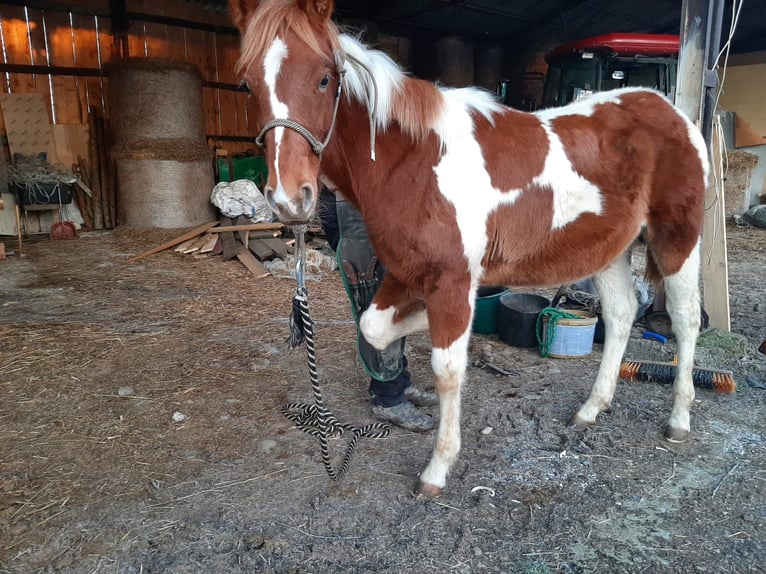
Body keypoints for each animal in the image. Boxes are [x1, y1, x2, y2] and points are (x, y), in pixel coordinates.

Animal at [231, 0, 712, 500]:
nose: (290, 198)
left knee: (684, 319)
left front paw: (437, 469)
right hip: (608, 250)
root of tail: (667, 109)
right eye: (248, 83)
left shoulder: (452, 279)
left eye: (325, 78)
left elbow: (447, 366)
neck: (413, 160)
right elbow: (375, 329)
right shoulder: (405, 271)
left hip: (677, 240)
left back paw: (679, 419)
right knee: (619, 316)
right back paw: (591, 409)